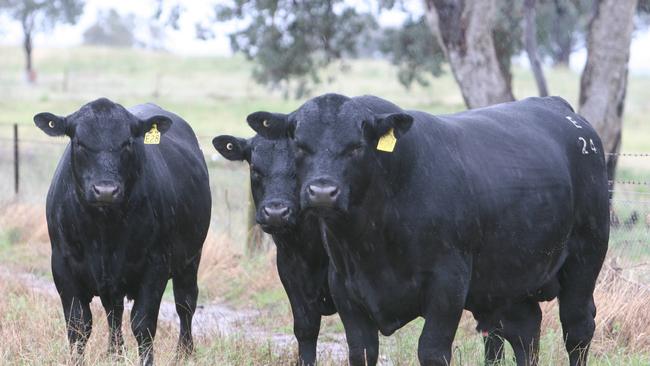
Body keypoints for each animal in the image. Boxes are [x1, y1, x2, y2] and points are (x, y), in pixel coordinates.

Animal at [33, 98, 210, 366]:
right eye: (79, 142)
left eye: (127, 142)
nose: (105, 190)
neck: (104, 231)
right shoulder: (62, 265)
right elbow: (78, 324)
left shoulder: (155, 265)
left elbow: (143, 324)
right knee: (113, 312)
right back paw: (114, 354)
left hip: (190, 259)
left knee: (185, 303)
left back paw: (184, 353)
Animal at [247, 95, 608, 366]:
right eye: (299, 145)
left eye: (356, 146)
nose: (322, 192)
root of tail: (558, 108)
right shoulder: (344, 290)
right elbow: (359, 351)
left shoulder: (448, 285)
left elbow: (432, 351)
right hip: (510, 279)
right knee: (525, 330)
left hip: (585, 257)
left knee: (577, 328)